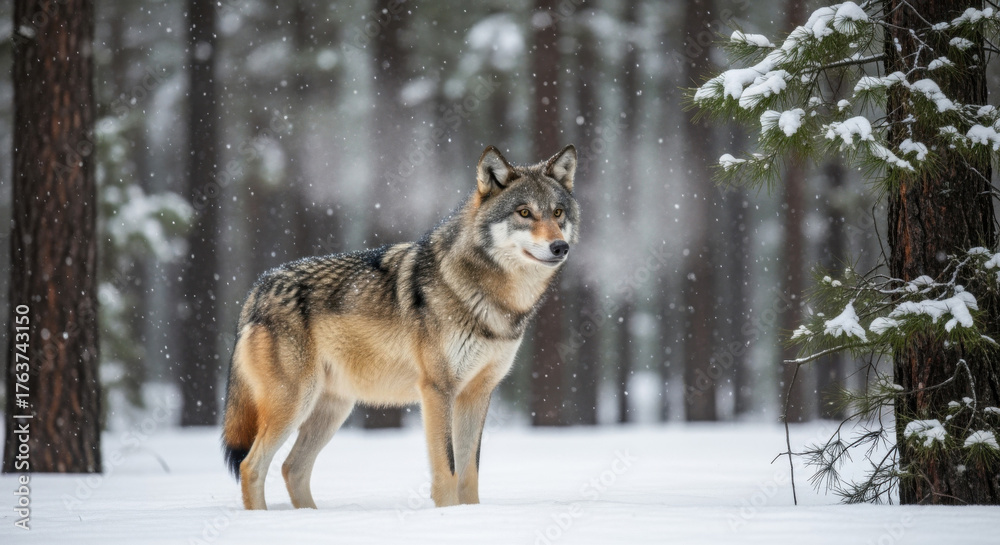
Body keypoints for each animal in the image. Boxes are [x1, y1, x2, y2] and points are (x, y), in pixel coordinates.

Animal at [221, 144, 580, 510]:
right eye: (524, 213)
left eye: (558, 213)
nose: (560, 247)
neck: (492, 297)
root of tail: (258, 288)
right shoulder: (437, 390)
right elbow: (448, 470)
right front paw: (449, 514)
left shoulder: (478, 392)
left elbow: (469, 473)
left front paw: (469, 515)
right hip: (294, 403)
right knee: (251, 465)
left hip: (333, 409)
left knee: (291, 468)